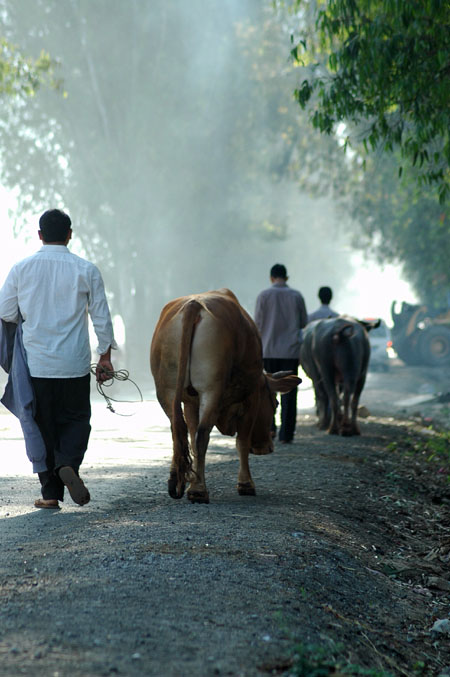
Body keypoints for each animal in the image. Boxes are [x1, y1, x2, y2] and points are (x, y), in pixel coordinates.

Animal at [149, 286, 300, 502]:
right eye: (275, 403)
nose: (267, 447)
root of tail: (194, 305)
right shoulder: (251, 399)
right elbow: (242, 442)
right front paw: (246, 484)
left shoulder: (191, 403)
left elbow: (191, 435)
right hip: (211, 389)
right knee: (202, 435)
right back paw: (198, 491)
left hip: (167, 390)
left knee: (178, 430)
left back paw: (179, 483)